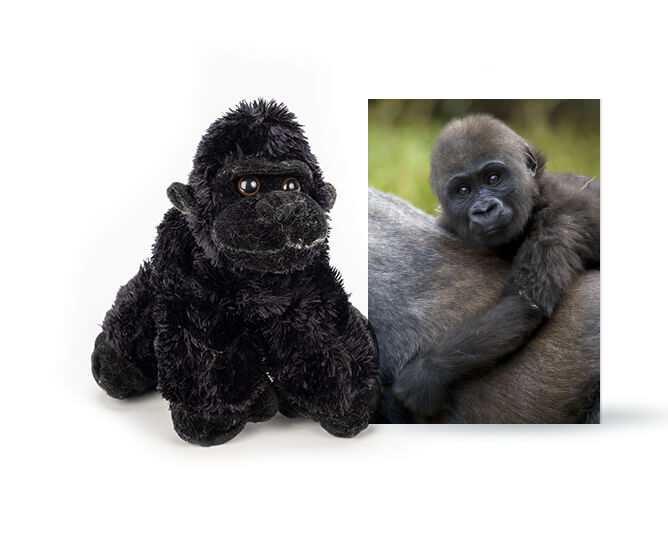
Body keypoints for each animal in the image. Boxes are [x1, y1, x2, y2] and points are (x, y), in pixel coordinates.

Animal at [391, 114, 600, 417]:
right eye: (463, 190)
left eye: (493, 178)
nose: (485, 209)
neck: (536, 197)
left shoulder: (559, 222)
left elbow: (523, 303)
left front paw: (426, 374)